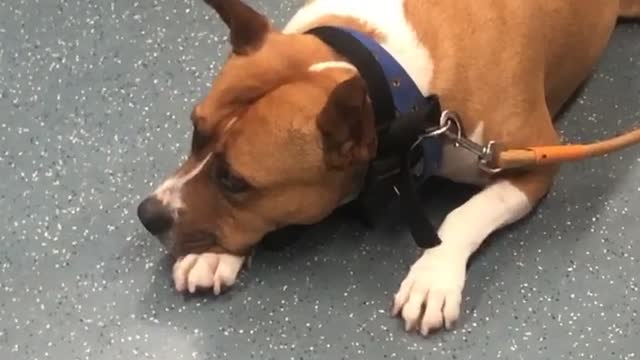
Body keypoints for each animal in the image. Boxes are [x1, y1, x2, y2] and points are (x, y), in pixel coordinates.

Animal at [136, 0, 640, 334]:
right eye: (195, 131)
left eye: (235, 182)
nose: (147, 214)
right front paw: (214, 253)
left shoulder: (534, 160)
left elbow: (465, 214)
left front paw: (433, 277)